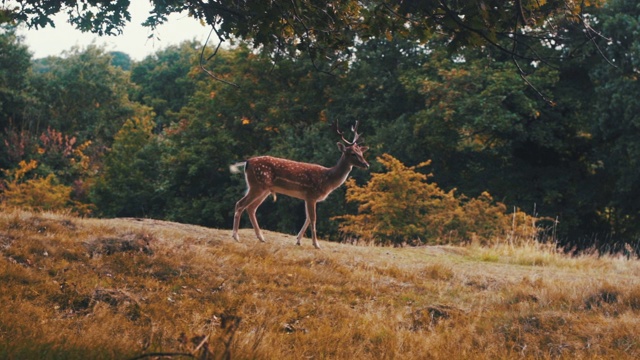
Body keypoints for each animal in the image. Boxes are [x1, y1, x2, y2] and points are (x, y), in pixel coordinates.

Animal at [231, 122, 370, 249]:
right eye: (352, 153)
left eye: (361, 153)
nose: (366, 164)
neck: (327, 179)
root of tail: (247, 162)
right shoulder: (311, 195)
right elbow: (313, 218)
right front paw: (316, 244)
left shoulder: (307, 198)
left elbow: (307, 218)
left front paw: (298, 240)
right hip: (257, 185)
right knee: (240, 204)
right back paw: (236, 236)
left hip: (264, 189)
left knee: (251, 208)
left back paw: (261, 237)